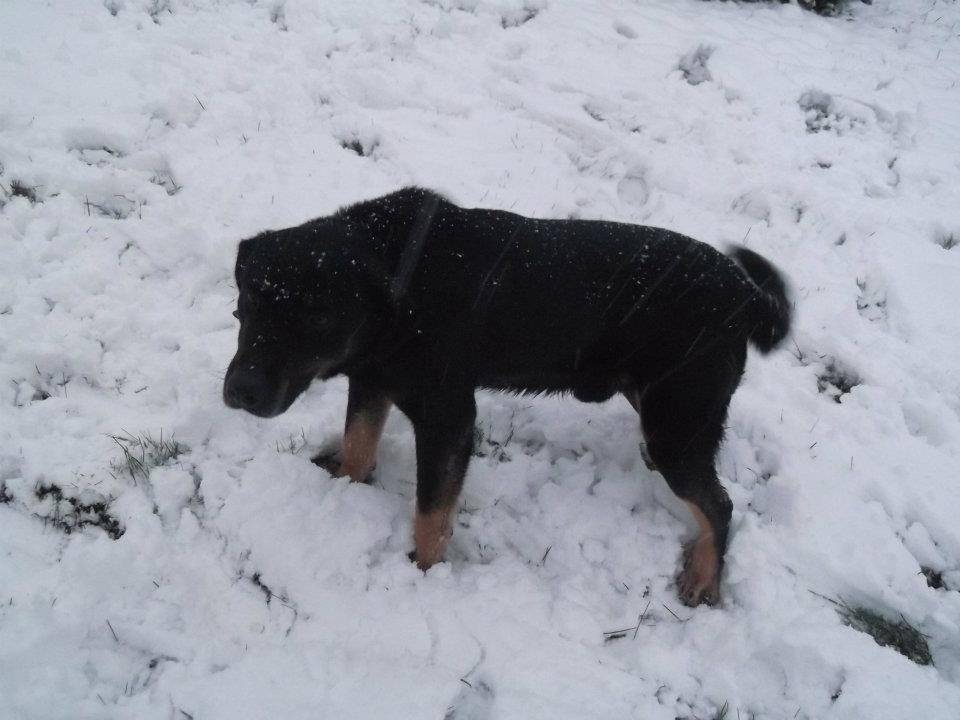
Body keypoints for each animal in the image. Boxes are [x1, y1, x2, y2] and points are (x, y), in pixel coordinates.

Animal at [223, 187, 791, 606]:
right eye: (246, 303)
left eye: (318, 320)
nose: (239, 392)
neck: (398, 288)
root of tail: (748, 295)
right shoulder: (372, 381)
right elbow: (359, 444)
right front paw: (345, 484)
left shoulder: (448, 417)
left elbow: (431, 514)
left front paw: (425, 576)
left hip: (676, 419)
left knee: (719, 504)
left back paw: (704, 577)